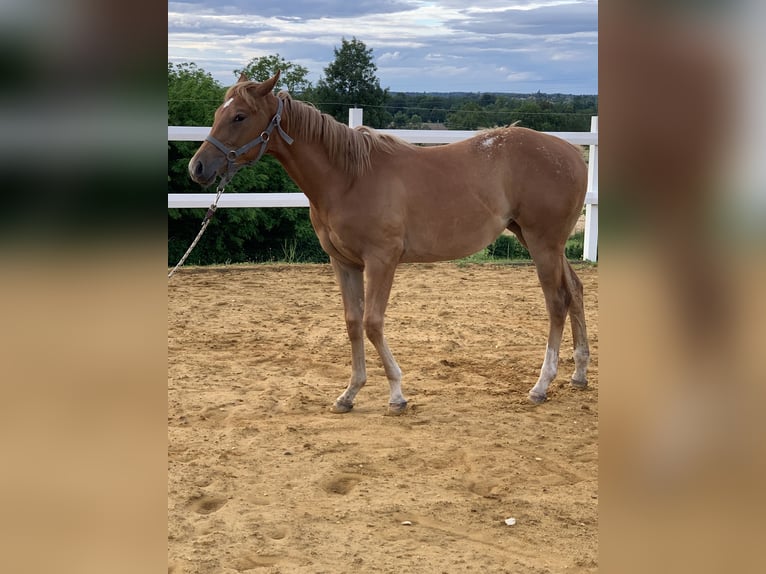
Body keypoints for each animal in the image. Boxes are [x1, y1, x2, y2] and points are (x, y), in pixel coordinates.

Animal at [189, 72, 592, 414]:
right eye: (218, 113)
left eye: (239, 116)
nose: (198, 168)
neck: (348, 177)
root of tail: (574, 154)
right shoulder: (344, 262)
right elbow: (353, 323)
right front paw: (349, 393)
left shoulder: (382, 260)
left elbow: (373, 323)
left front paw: (397, 394)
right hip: (541, 241)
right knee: (575, 290)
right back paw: (579, 373)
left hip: (542, 243)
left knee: (556, 302)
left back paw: (541, 386)